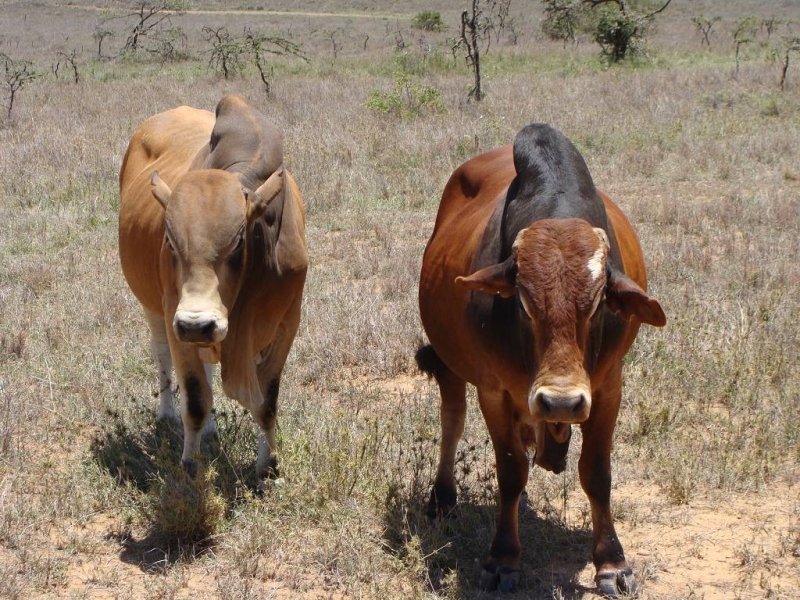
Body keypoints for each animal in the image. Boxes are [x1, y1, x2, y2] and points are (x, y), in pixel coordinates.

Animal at [118, 96, 306, 486]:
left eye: (238, 242)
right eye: (171, 241)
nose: (197, 323)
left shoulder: (287, 323)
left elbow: (267, 402)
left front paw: (267, 467)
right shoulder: (175, 313)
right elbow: (195, 400)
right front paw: (191, 465)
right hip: (155, 309)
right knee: (163, 358)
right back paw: (168, 416)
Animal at [416, 123, 664, 596]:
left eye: (598, 302)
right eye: (525, 304)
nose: (561, 402)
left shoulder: (609, 386)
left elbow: (596, 473)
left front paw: (612, 563)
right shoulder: (493, 390)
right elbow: (511, 470)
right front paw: (502, 558)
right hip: (451, 364)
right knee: (452, 419)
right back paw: (443, 497)